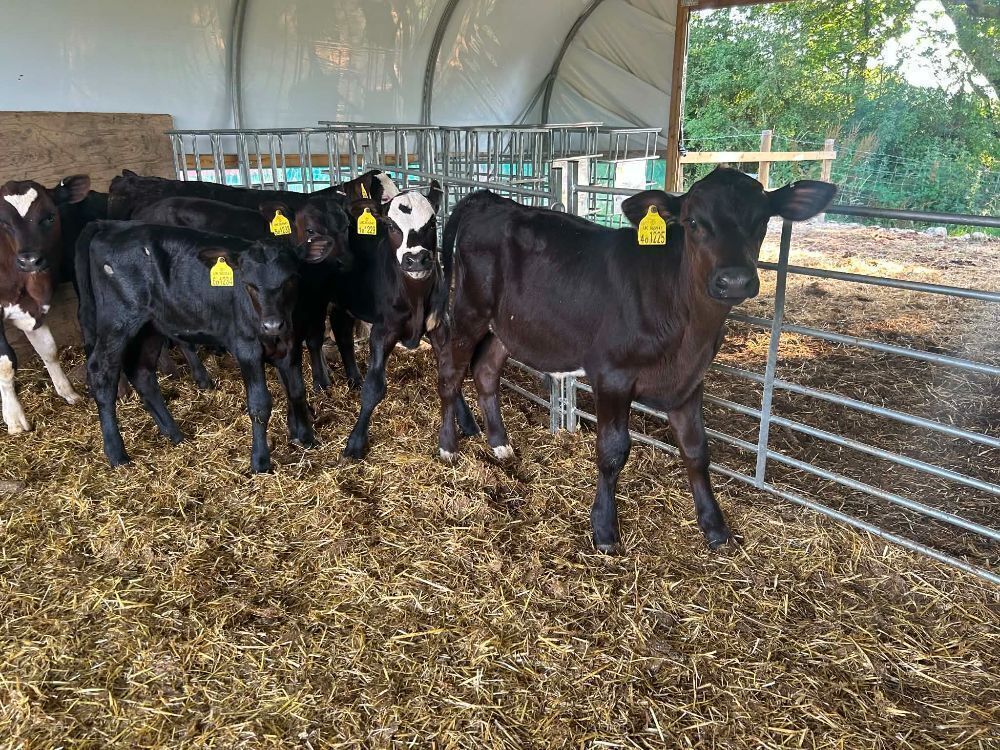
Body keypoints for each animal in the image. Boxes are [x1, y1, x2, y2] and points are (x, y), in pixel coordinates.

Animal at [1, 175, 91, 434]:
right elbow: (6, 364)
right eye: (3, 223)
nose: (30, 260)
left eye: (50, 217)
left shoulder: (31, 309)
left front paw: (67, 391)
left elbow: (49, 349)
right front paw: (14, 418)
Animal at [75, 221, 331, 472]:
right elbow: (260, 405)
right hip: (117, 320)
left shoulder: (292, 344)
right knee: (101, 373)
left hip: (152, 326)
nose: (272, 324)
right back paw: (117, 454)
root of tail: (112, 226)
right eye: (249, 285)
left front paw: (306, 438)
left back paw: (175, 434)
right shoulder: (246, 348)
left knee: (142, 372)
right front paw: (260, 461)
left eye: (291, 279)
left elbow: (296, 391)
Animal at [133, 195, 352, 391]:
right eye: (310, 230)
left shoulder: (318, 300)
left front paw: (324, 377)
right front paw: (317, 382)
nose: (344, 261)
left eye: (346, 226)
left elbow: (315, 339)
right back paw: (197, 377)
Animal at [433, 167, 836, 553]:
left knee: (486, 371)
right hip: (469, 310)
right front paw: (604, 529)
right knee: (450, 373)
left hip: (507, 326)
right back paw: (448, 446)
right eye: (693, 222)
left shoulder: (690, 381)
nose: (734, 280)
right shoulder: (613, 375)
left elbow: (697, 450)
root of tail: (492, 199)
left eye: (763, 219)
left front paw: (715, 527)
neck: (689, 333)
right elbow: (613, 451)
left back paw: (500, 444)